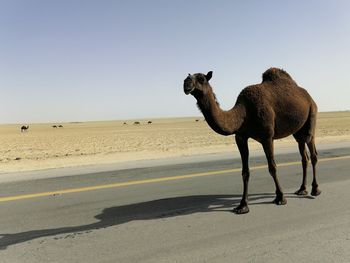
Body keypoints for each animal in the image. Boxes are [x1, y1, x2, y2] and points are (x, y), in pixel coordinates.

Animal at [185, 68, 322, 214]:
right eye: (188, 77)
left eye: (201, 79)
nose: (186, 83)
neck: (244, 112)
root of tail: (309, 97)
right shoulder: (240, 137)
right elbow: (245, 172)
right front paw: (242, 205)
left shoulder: (267, 137)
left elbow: (272, 167)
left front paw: (280, 197)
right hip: (298, 131)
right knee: (304, 156)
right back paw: (302, 189)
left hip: (312, 114)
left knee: (313, 152)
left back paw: (315, 190)